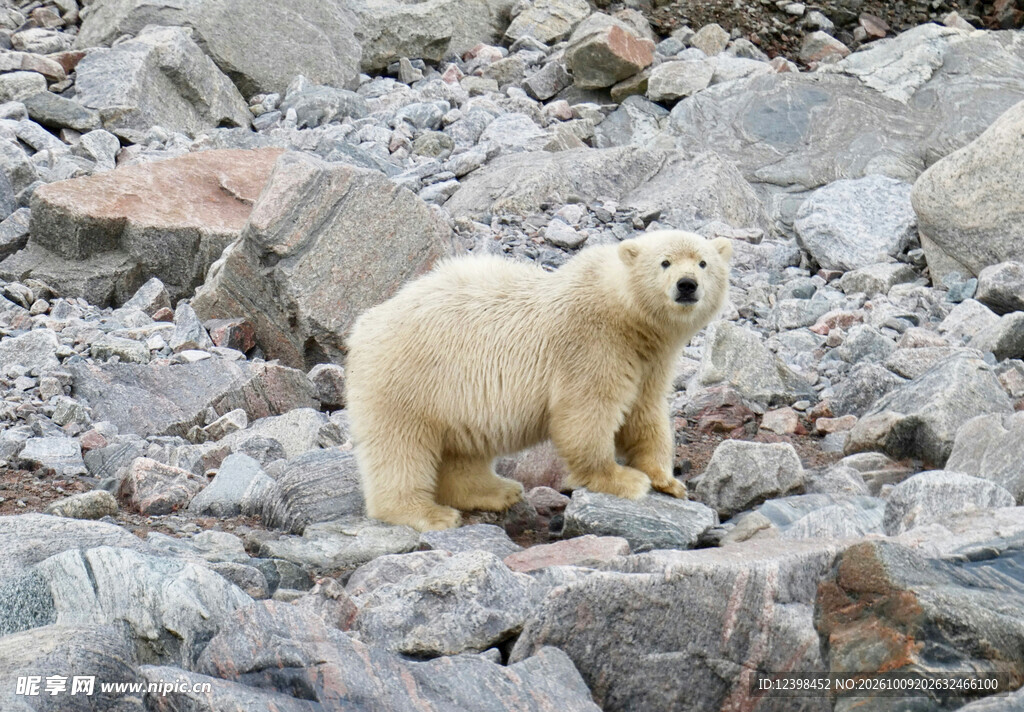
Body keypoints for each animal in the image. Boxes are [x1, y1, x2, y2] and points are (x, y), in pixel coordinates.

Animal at [345, 229, 733, 531]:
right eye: (664, 262)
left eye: (703, 263)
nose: (687, 285)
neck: (625, 315)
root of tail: (364, 325)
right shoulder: (591, 344)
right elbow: (586, 413)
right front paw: (622, 479)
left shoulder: (650, 361)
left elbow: (645, 413)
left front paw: (667, 481)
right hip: (410, 377)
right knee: (401, 446)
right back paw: (427, 513)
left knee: (463, 449)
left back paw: (496, 490)